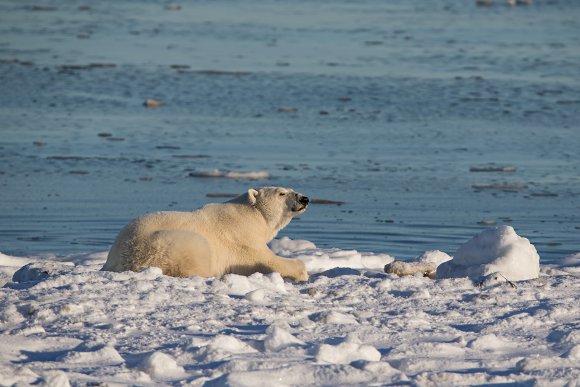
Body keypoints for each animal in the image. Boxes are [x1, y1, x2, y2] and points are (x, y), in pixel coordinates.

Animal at [102, 187, 310, 282]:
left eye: (292, 190)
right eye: (281, 193)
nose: (304, 198)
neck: (252, 215)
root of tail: (112, 261)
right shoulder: (240, 237)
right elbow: (262, 259)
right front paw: (301, 269)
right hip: (158, 245)